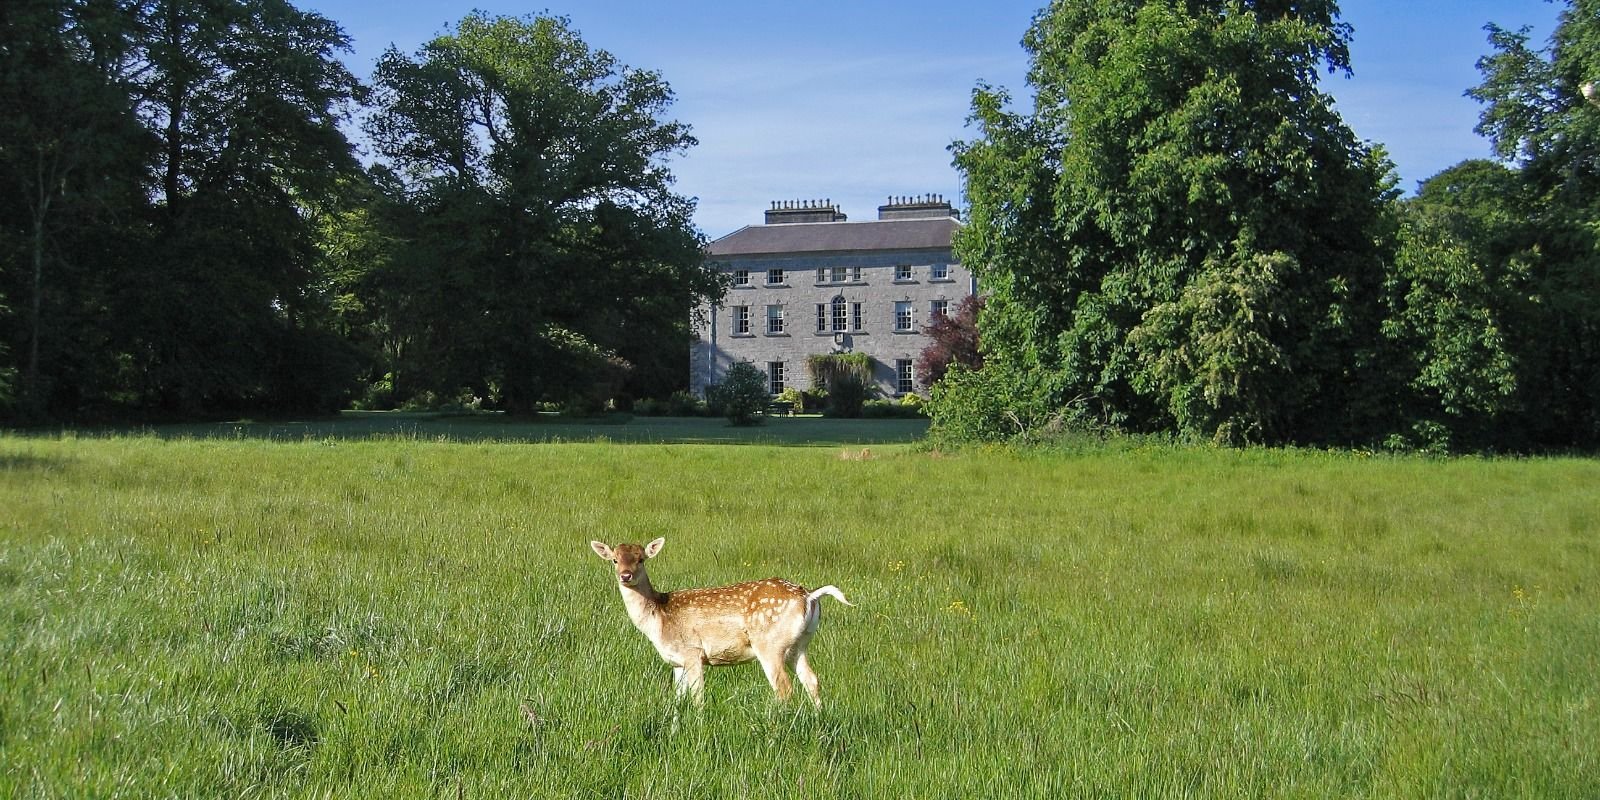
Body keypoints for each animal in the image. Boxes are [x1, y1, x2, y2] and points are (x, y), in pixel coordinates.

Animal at [589, 537, 852, 707]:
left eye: (641, 559)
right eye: (614, 560)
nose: (625, 575)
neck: (658, 618)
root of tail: (809, 596)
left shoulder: (692, 652)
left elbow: (697, 698)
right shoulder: (676, 662)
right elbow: (677, 700)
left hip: (770, 644)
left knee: (784, 688)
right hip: (799, 644)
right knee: (812, 680)